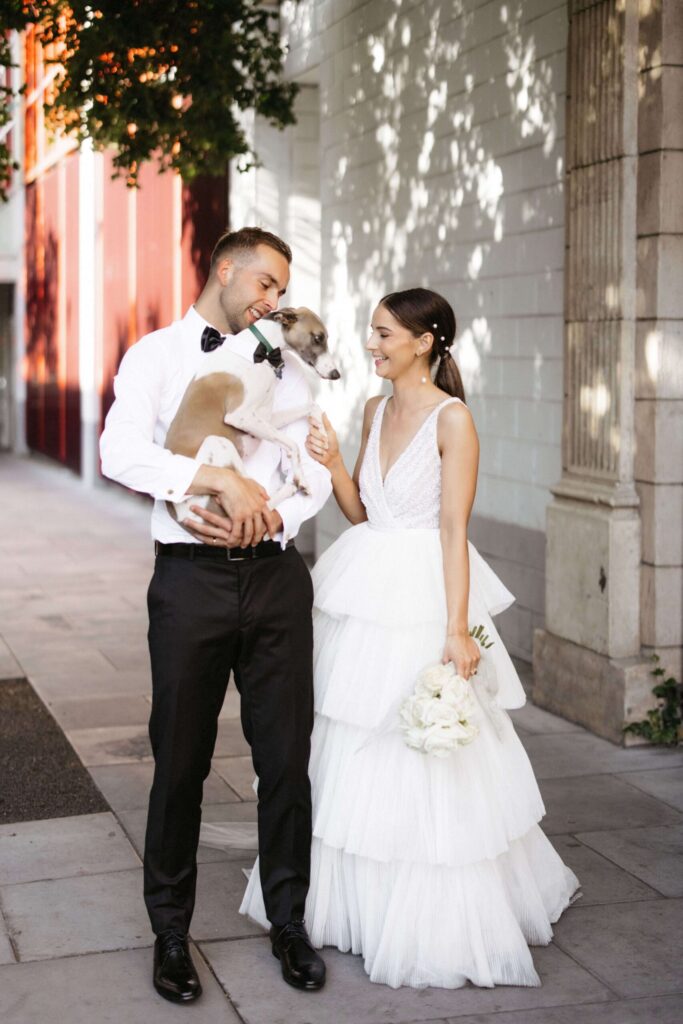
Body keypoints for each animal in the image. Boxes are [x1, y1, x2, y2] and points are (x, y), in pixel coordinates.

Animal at [163, 305, 339, 524]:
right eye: (317, 338)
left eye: (325, 338)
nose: (336, 374)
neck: (261, 351)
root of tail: (182, 514)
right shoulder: (241, 416)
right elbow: (293, 445)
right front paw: (302, 478)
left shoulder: (264, 418)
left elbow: (312, 407)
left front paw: (322, 434)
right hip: (218, 444)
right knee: (260, 503)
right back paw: (291, 486)